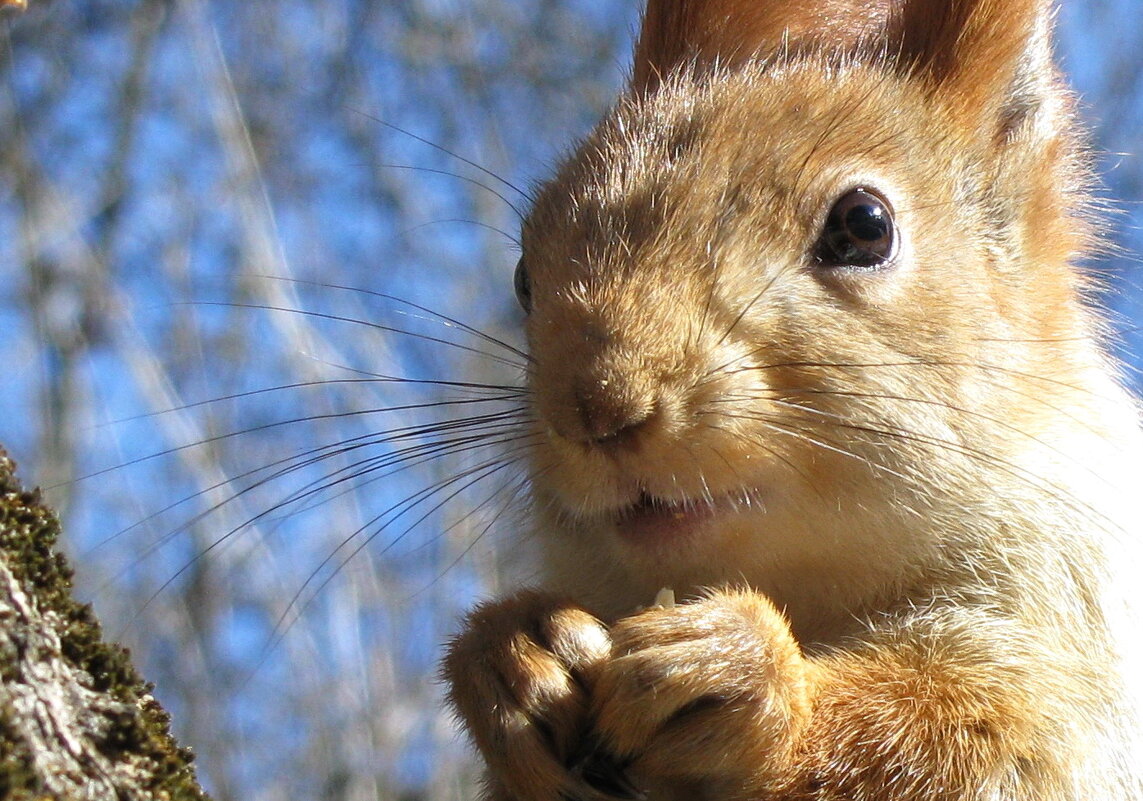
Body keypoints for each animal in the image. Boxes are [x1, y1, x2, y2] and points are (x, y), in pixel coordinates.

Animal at [443, 1, 1143, 799]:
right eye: (524, 275)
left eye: (865, 226)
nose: (596, 410)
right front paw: (507, 660)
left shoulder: (1078, 641)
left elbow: (975, 739)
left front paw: (745, 681)